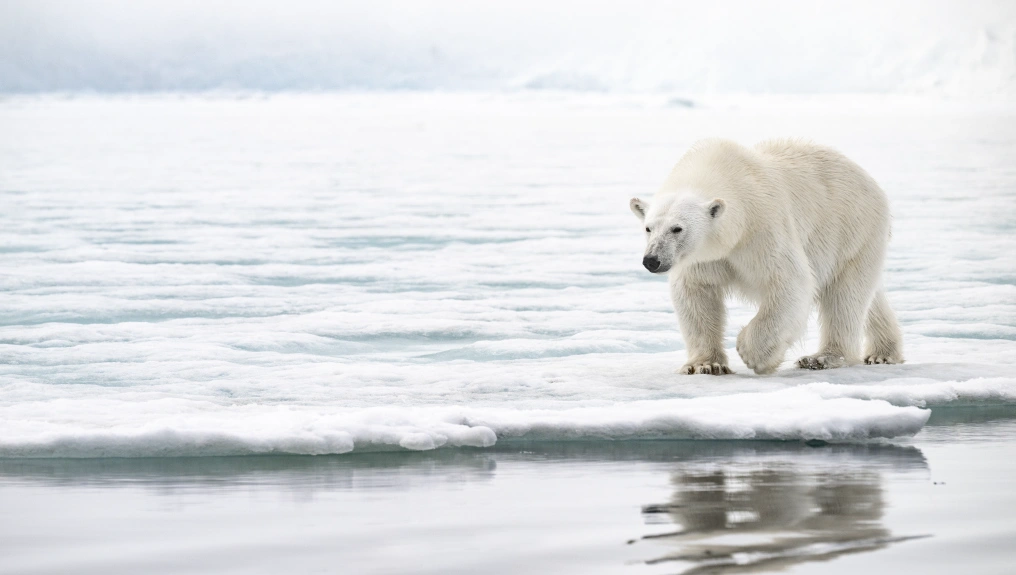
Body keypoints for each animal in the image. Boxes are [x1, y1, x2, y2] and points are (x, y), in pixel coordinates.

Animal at [630, 138, 903, 375]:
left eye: (677, 228)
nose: (652, 260)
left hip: (852, 229)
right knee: (867, 295)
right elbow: (696, 294)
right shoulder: (702, 257)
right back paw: (883, 352)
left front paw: (751, 353)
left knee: (844, 296)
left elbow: (790, 281)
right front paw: (705, 365)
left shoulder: (761, 227)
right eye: (648, 228)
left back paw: (820, 358)